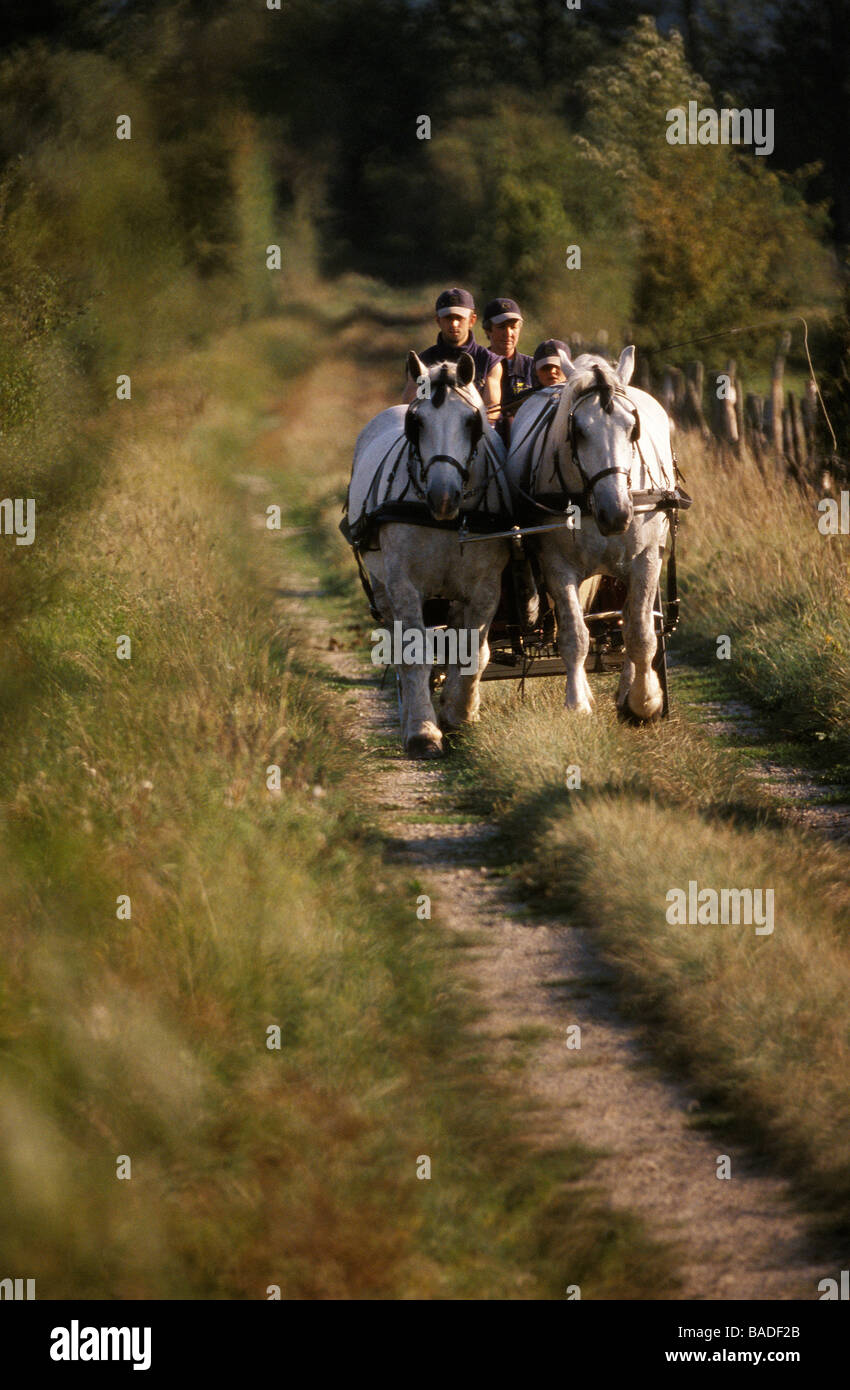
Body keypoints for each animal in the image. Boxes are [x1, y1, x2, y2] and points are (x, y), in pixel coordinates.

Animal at [345, 351, 512, 758]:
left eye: (472, 422)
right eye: (416, 422)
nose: (444, 496)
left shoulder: (486, 587)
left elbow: (473, 651)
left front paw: (460, 715)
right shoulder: (404, 586)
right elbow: (414, 654)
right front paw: (424, 731)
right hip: (383, 585)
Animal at [506, 345, 677, 721]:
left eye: (632, 428)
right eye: (578, 431)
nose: (616, 513)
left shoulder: (646, 559)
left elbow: (640, 632)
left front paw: (644, 699)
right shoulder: (557, 566)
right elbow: (574, 635)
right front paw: (576, 702)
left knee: (627, 620)